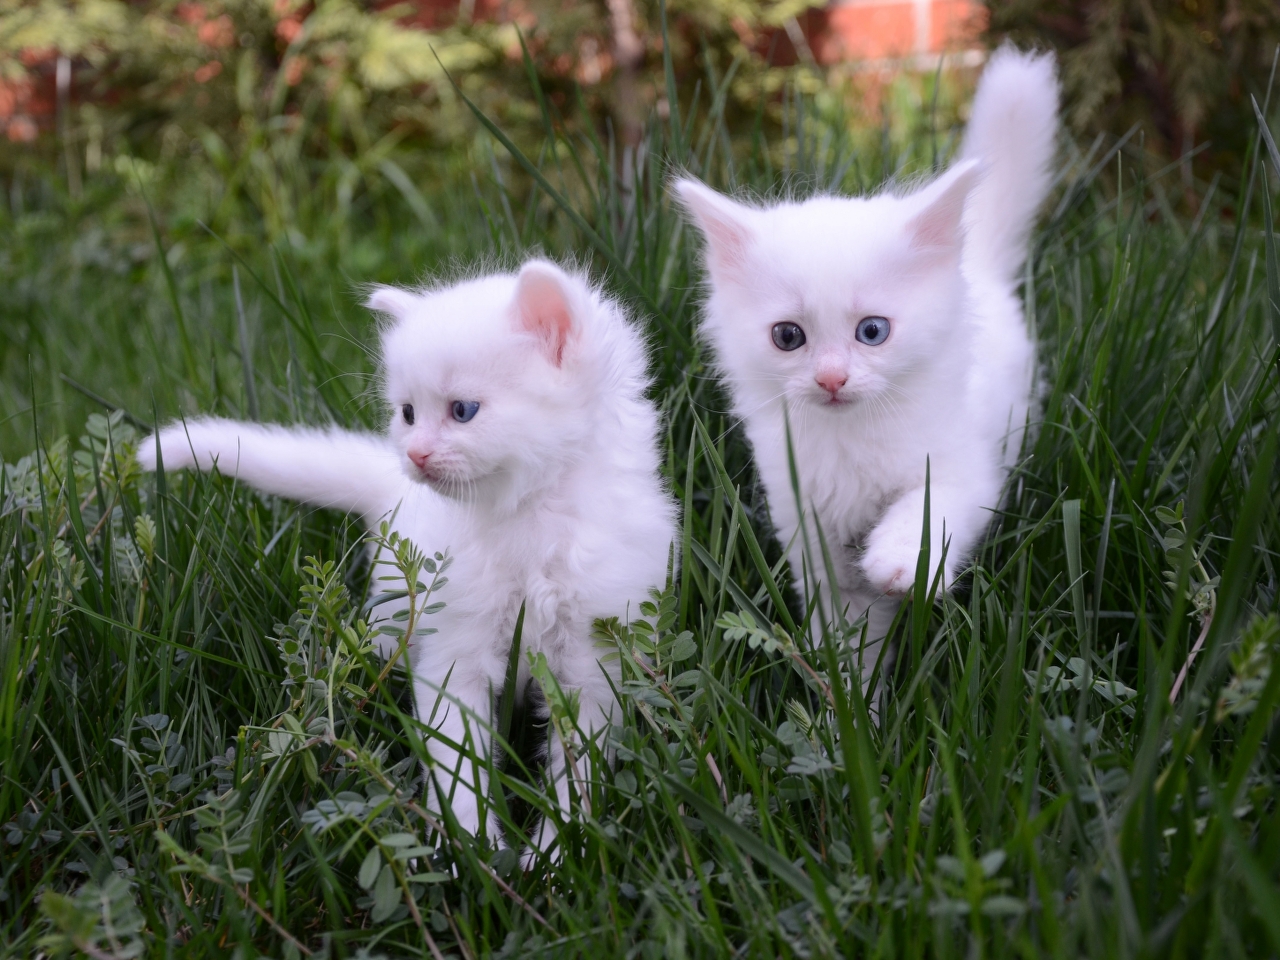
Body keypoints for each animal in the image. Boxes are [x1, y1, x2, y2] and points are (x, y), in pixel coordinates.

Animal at [137, 261, 680, 855]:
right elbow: (457, 762)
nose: (414, 454)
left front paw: (556, 856)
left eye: (462, 411)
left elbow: (577, 779)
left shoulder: (594, 664)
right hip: (392, 619)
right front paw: (472, 848)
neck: (526, 519)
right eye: (408, 413)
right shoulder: (456, 654)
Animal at [680, 45, 1059, 675]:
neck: (850, 443)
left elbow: (929, 509)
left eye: (872, 332)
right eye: (788, 336)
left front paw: (901, 561)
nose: (832, 378)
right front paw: (852, 695)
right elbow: (847, 626)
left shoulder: (964, 466)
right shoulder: (804, 516)